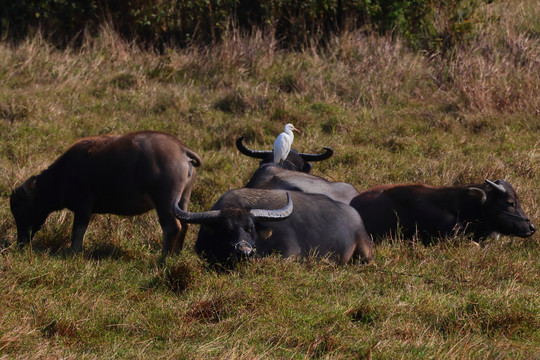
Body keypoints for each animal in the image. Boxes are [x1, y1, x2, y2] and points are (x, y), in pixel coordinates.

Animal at [10, 131, 200, 258]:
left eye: (21, 208)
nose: (21, 242)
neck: (62, 175)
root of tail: (181, 149)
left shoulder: (83, 208)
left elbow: (78, 231)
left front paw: (73, 252)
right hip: (182, 199)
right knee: (184, 225)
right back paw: (176, 255)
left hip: (165, 201)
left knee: (172, 227)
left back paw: (163, 260)